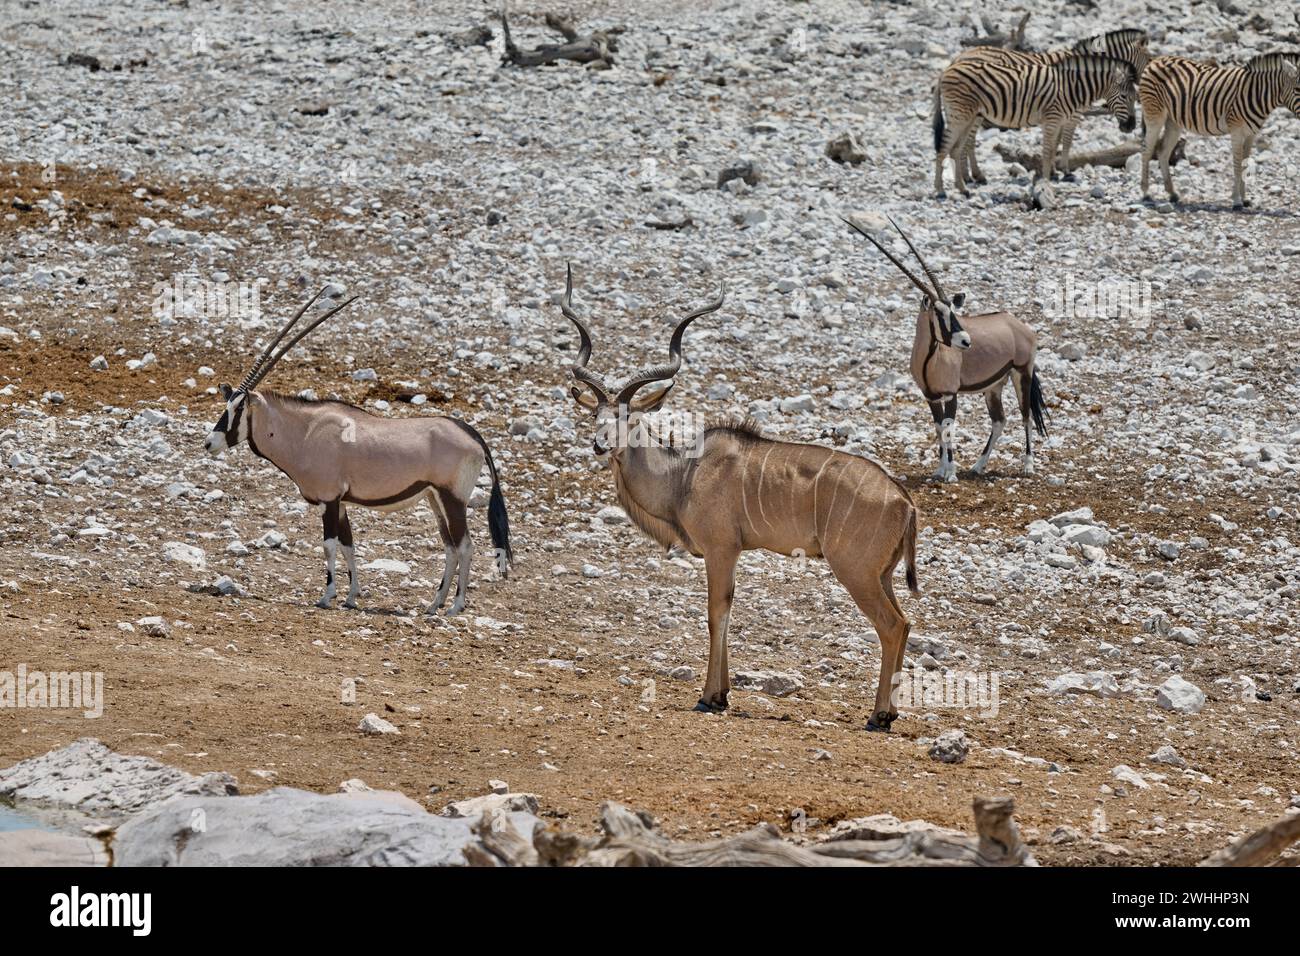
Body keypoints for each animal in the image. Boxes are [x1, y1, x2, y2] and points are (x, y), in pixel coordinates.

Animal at [941, 29, 1154, 185]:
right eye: (1150, 60)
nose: (1130, 127)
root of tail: (960, 57)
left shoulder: (1062, 112)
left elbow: (1056, 142)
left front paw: (1052, 171)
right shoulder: (1073, 113)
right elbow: (1066, 142)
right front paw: (1064, 172)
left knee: (968, 140)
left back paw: (970, 176)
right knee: (969, 140)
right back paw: (974, 176)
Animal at [1138, 52, 1300, 209]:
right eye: (1297, 90)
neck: (1258, 94)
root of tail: (1155, 60)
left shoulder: (1251, 134)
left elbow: (1245, 164)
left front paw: (1245, 199)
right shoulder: (1236, 131)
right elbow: (1237, 164)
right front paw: (1237, 201)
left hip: (1174, 122)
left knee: (1163, 152)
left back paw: (1172, 193)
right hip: (1154, 115)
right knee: (1146, 150)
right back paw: (1146, 193)